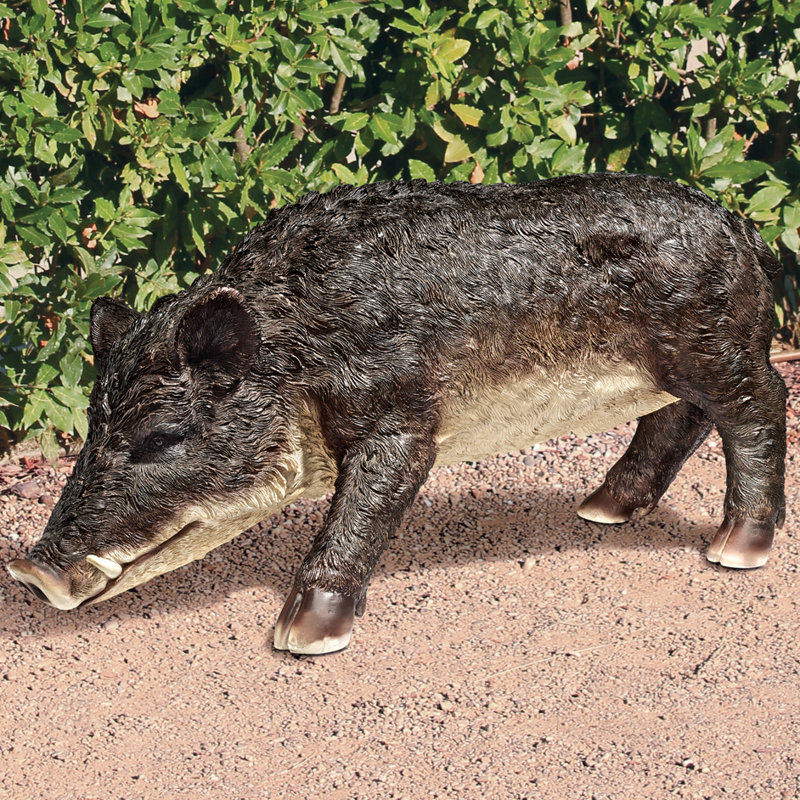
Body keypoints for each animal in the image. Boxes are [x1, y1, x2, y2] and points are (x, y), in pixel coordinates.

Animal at [7, 173, 786, 654]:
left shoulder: (403, 417)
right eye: (92, 432)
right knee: (678, 420)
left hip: (716, 346)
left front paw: (301, 640)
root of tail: (745, 231)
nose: (29, 571)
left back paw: (735, 551)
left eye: (162, 436)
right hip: (672, 368)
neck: (299, 347)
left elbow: (364, 506)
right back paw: (600, 511)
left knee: (762, 402)